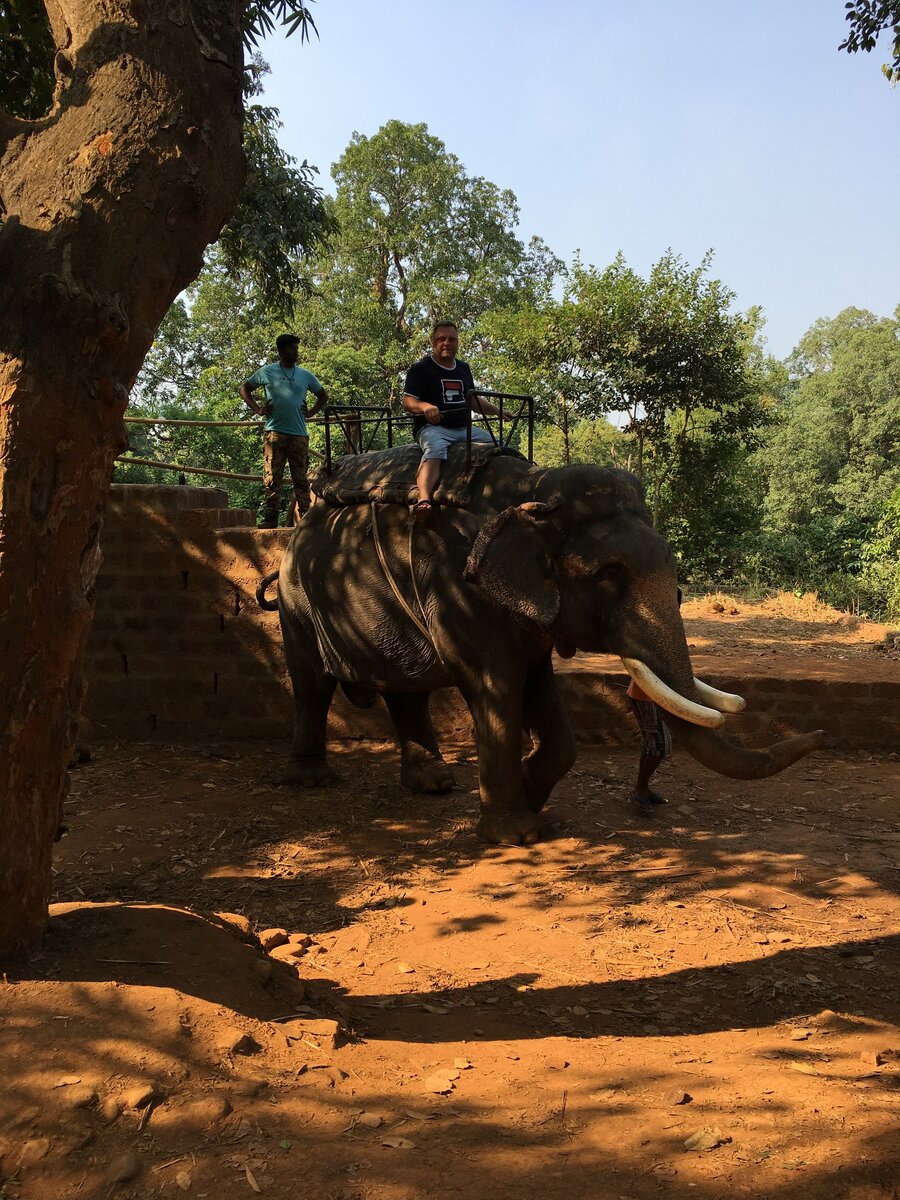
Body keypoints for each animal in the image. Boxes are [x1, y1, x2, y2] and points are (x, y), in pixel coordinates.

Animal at [259, 441, 825, 844]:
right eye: (611, 573)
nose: (819, 737)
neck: (536, 490)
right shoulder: (459, 585)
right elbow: (496, 687)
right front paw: (518, 833)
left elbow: (540, 689)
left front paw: (532, 793)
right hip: (297, 598)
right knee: (312, 684)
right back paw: (311, 780)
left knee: (407, 691)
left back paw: (434, 784)